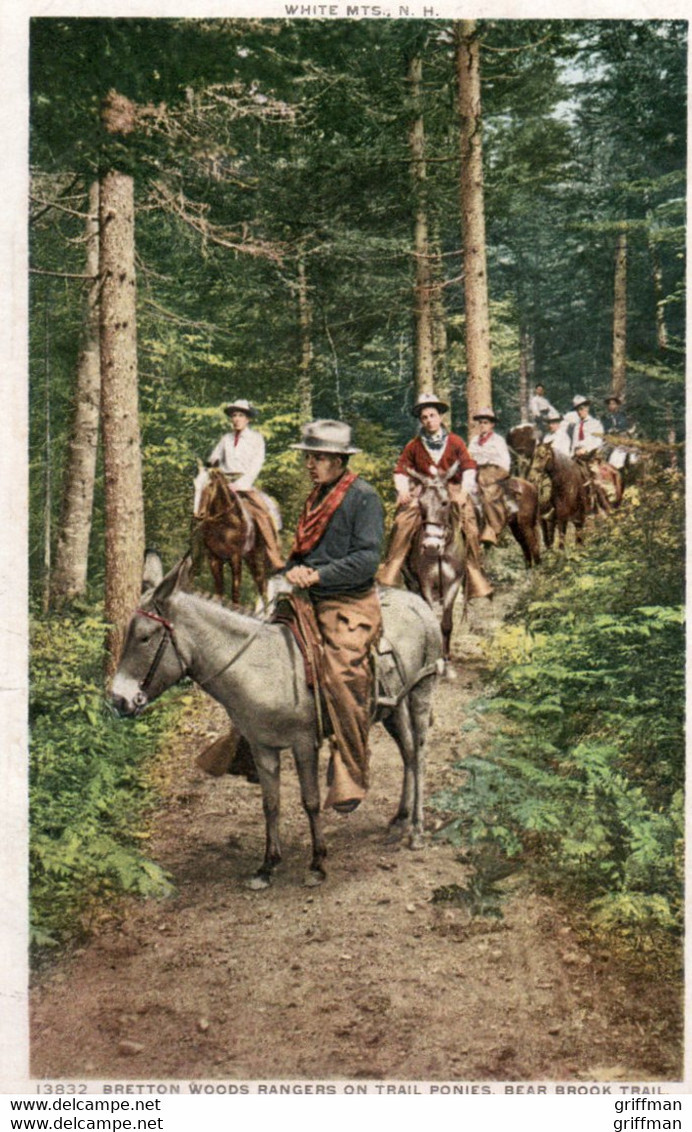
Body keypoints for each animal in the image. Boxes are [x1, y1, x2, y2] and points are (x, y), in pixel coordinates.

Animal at [109, 556, 443, 892]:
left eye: (145, 637)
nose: (118, 700)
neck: (262, 667)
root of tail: (418, 602)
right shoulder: (262, 746)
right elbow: (270, 803)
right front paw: (267, 865)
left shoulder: (304, 744)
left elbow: (311, 801)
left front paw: (317, 863)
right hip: (392, 709)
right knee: (408, 753)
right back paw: (399, 820)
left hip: (421, 692)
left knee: (421, 756)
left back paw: (416, 831)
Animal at [193, 466, 275, 606]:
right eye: (195, 484)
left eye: (210, 484)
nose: (199, 514)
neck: (225, 523)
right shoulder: (214, 557)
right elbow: (219, 586)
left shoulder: (235, 557)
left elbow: (235, 588)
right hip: (249, 558)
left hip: (257, 559)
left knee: (262, 586)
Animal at [403, 466, 468, 661]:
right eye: (420, 503)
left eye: (445, 503)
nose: (431, 546)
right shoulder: (425, 582)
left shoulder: (454, 583)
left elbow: (446, 623)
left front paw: (446, 654)